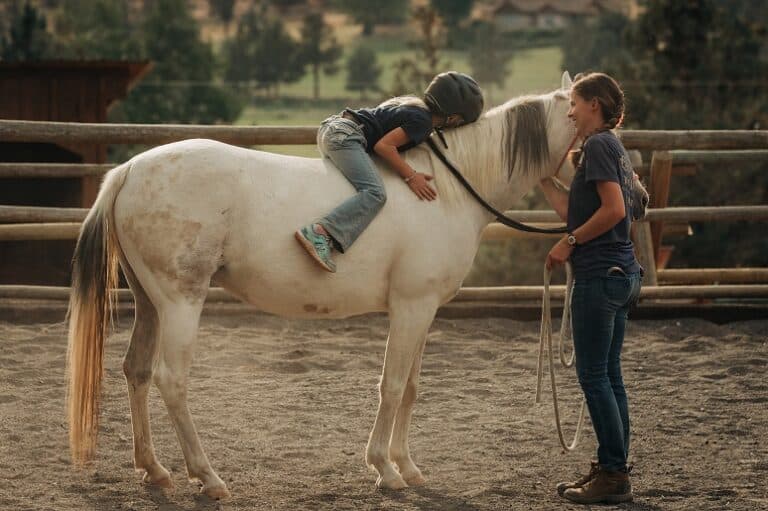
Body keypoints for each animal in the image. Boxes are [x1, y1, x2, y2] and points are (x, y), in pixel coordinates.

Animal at [64, 70, 632, 498]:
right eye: (595, 135)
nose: (635, 192)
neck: (450, 188)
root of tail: (129, 171)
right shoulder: (410, 306)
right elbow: (393, 385)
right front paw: (385, 469)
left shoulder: (424, 311)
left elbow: (412, 388)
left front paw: (407, 466)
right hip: (182, 301)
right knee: (171, 381)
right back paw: (208, 477)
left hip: (150, 301)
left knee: (137, 371)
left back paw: (155, 471)